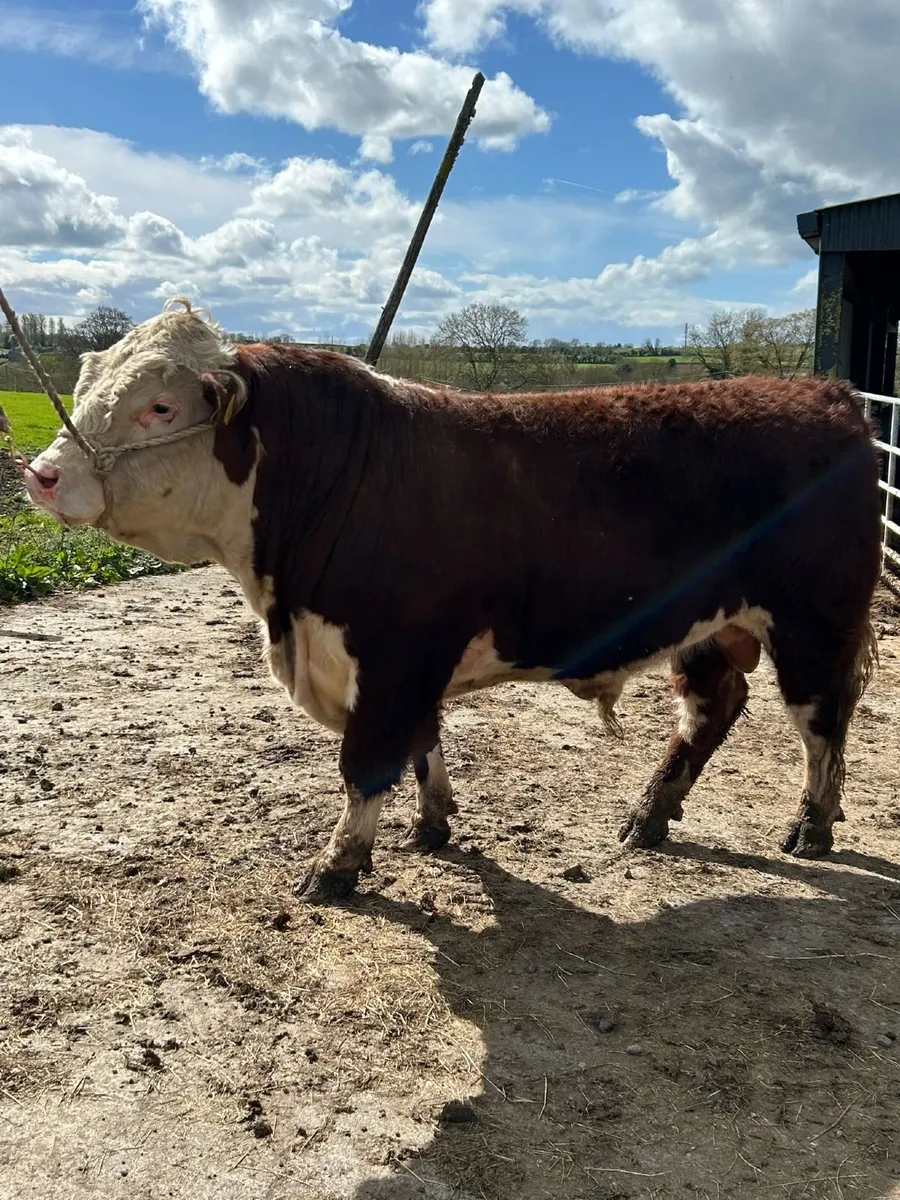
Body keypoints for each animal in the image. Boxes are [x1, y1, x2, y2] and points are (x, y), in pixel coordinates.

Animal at [24, 300, 882, 903]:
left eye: (160, 407)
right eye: (87, 384)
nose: (41, 474)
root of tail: (828, 394)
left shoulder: (393, 655)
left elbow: (366, 762)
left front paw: (337, 865)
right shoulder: (405, 662)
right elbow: (421, 743)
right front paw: (431, 824)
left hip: (815, 623)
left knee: (823, 726)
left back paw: (810, 825)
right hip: (709, 623)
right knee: (713, 707)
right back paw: (650, 816)